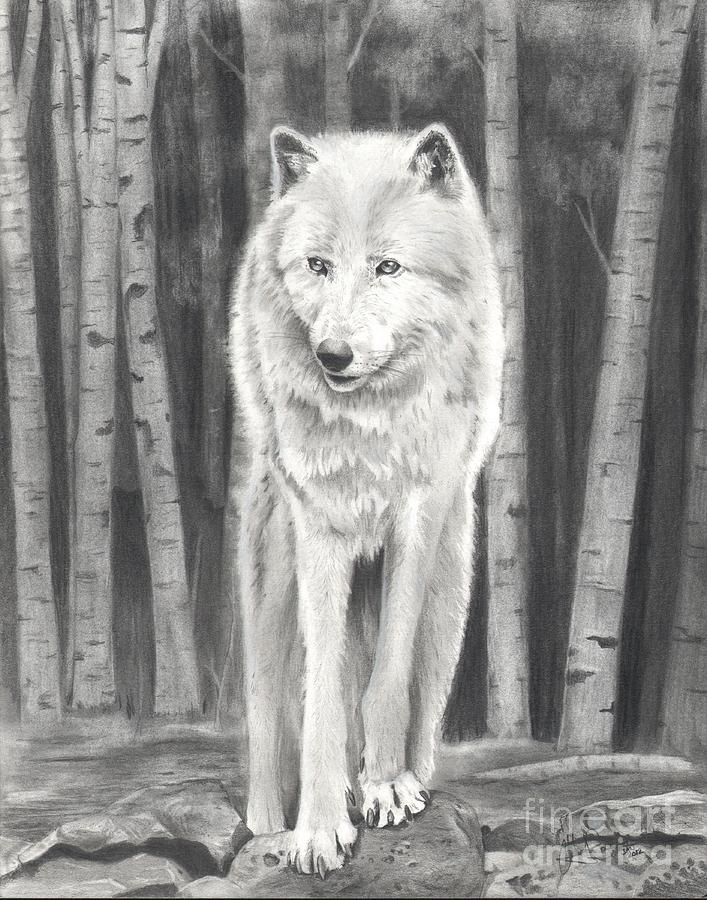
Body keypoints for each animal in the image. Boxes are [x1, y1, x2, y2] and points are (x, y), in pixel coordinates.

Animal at [229, 123, 503, 876]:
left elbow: (386, 677)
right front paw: (319, 828)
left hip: (451, 577)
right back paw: (267, 821)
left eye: (388, 267)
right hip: (272, 572)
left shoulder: (418, 518)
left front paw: (382, 787)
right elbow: (322, 693)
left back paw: (403, 778)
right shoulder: (319, 529)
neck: (373, 420)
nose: (332, 355)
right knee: (265, 697)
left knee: (418, 691)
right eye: (319, 265)